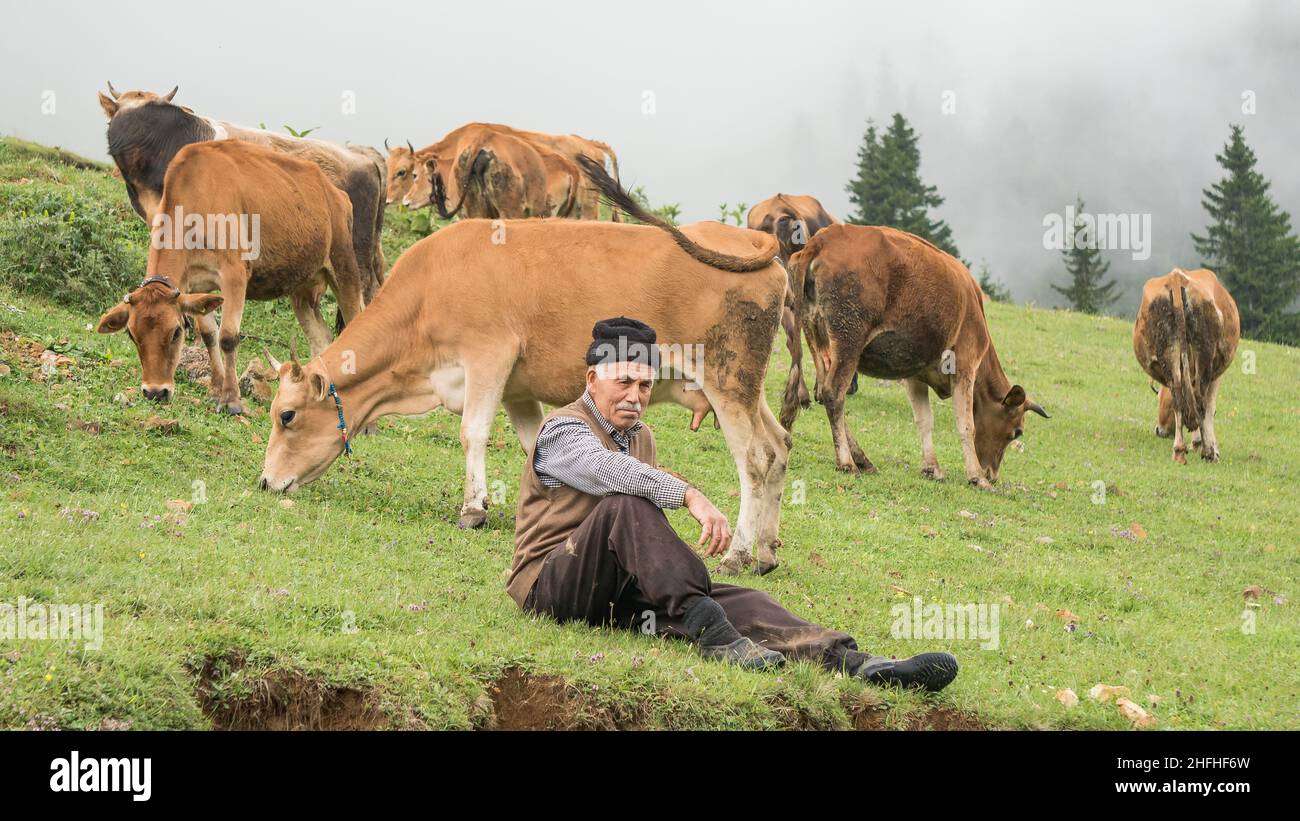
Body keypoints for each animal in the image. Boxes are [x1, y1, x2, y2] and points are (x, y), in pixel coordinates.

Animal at [94, 138, 366, 415]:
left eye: (176, 332)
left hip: (345, 269)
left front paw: (231, 400)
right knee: (321, 339)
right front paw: (215, 390)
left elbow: (227, 337)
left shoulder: (234, 274)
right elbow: (209, 334)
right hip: (302, 289)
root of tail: (336, 193)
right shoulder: (195, 285)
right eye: (131, 334)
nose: (155, 392)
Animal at [260, 157, 790, 574]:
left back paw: (739, 554)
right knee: (780, 446)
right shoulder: (517, 388)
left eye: (287, 416)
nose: (265, 482)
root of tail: (746, 241)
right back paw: (765, 552)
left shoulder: (488, 355)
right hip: (749, 389)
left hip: (726, 380)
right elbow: (536, 445)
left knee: (754, 459)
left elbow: (472, 432)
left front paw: (473, 508)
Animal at [1128, 267, 1237, 462]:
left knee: (1179, 398)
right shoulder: (1217, 375)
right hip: (1204, 356)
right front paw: (1208, 447)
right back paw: (1208, 452)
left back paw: (1179, 450)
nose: (1160, 431)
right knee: (1200, 403)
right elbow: (1210, 408)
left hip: (1168, 354)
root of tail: (1176, 277)